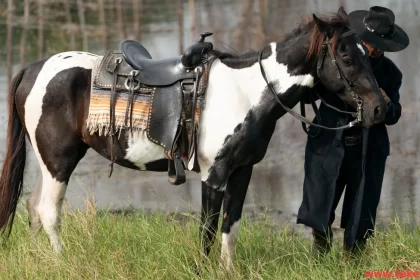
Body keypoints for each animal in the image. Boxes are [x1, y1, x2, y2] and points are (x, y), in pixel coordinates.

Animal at [0, 8, 386, 270]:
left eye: (369, 55)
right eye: (346, 56)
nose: (381, 108)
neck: (247, 93)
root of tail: (33, 68)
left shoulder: (242, 172)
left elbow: (230, 226)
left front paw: (228, 271)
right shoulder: (213, 176)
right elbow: (208, 230)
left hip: (48, 163)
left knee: (33, 208)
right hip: (59, 161)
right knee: (49, 212)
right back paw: (61, 261)